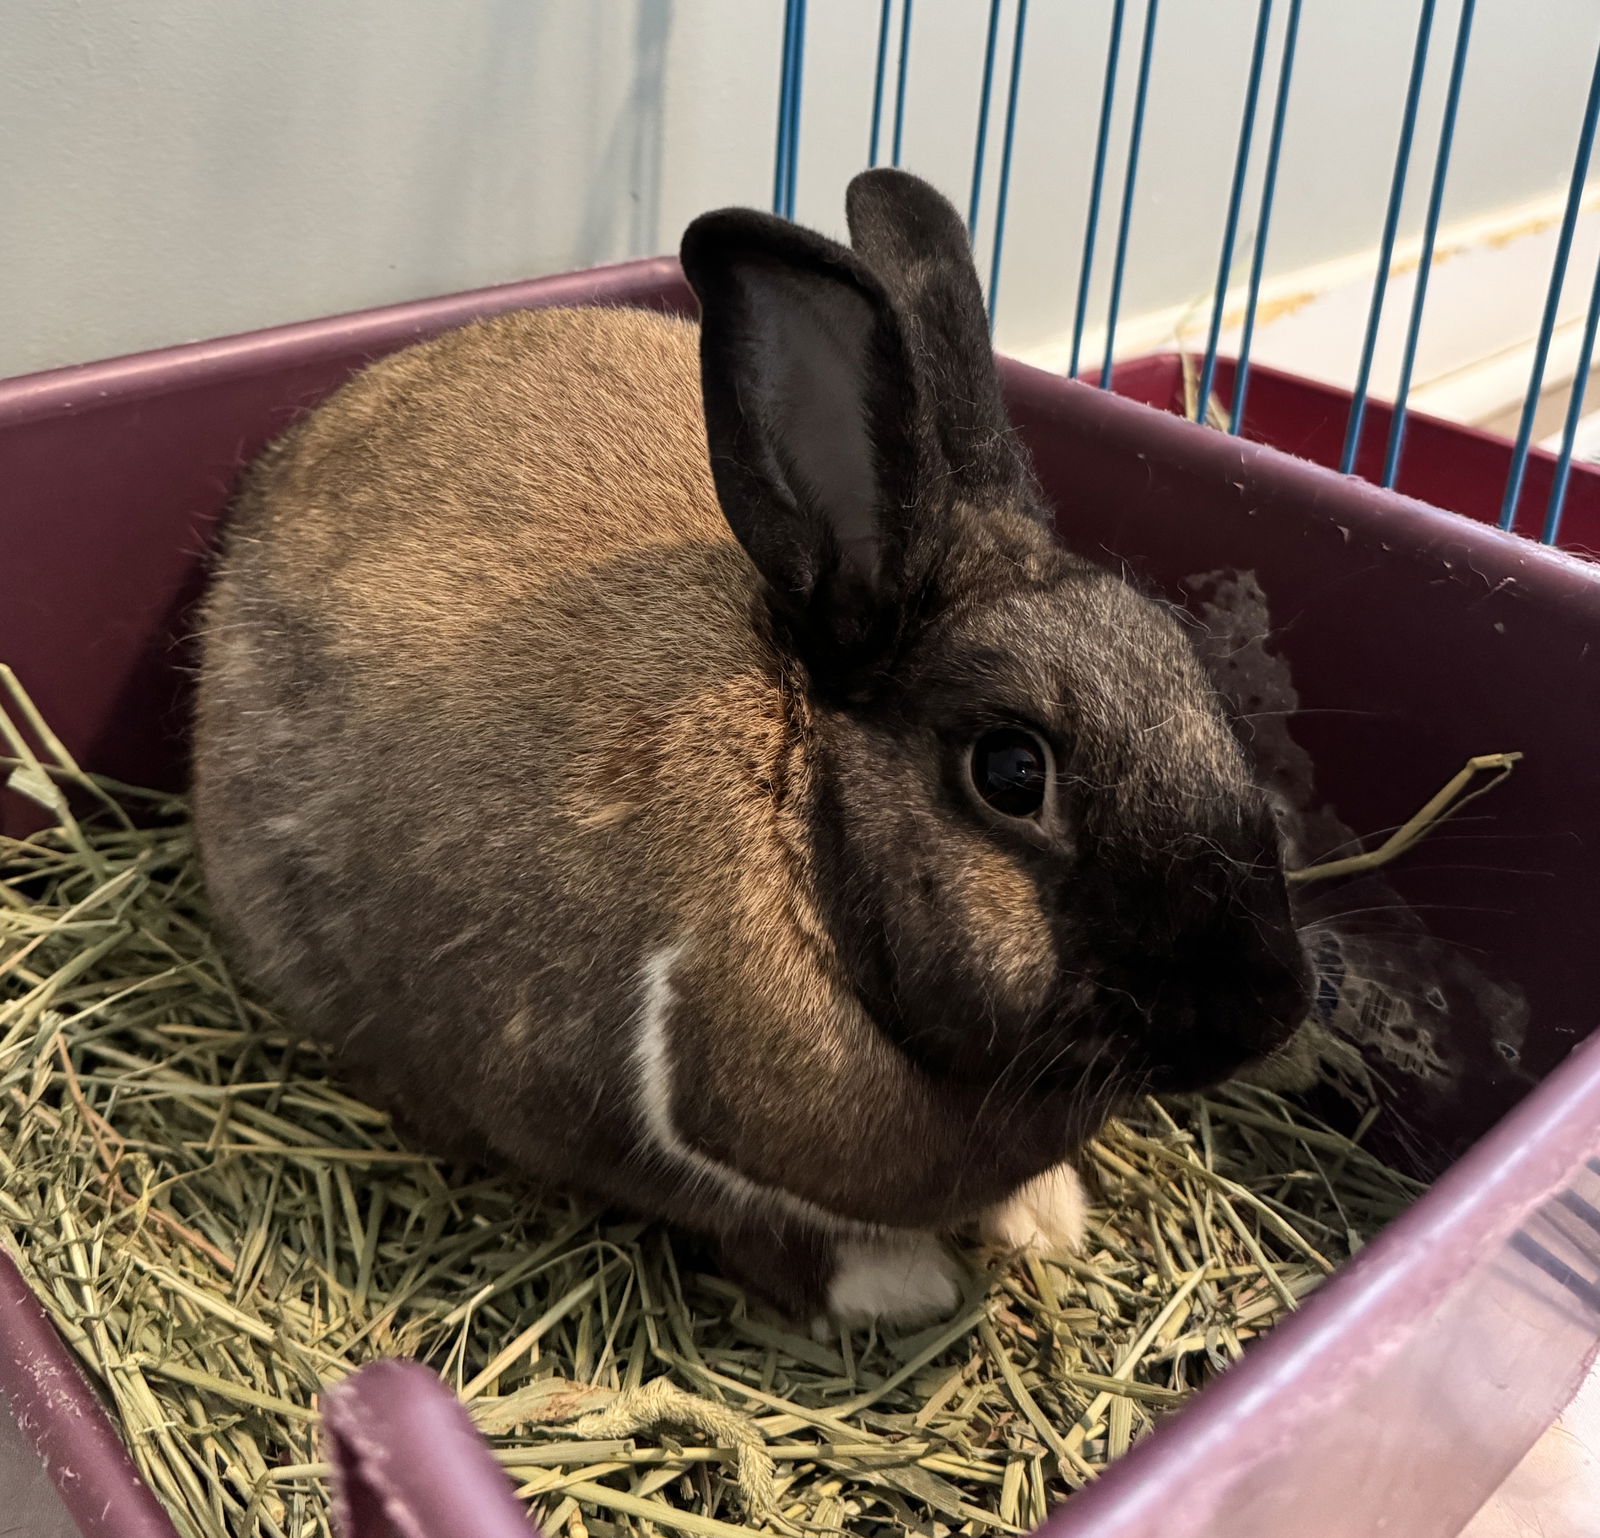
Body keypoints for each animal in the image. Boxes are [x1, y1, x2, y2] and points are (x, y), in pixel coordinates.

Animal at [190, 164, 1312, 1318]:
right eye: (1011, 772)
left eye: (1190, 674)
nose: (1267, 1011)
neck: (801, 815)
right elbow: (771, 1236)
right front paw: (906, 1286)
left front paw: (1044, 1219)